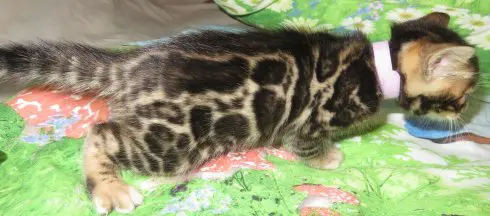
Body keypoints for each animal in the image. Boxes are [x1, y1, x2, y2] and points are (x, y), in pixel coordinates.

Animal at [0, 12, 478, 213]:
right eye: (463, 96)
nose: (465, 114)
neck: (379, 68)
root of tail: (128, 66)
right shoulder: (308, 121)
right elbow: (306, 144)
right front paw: (328, 158)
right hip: (172, 144)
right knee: (100, 131)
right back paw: (110, 188)